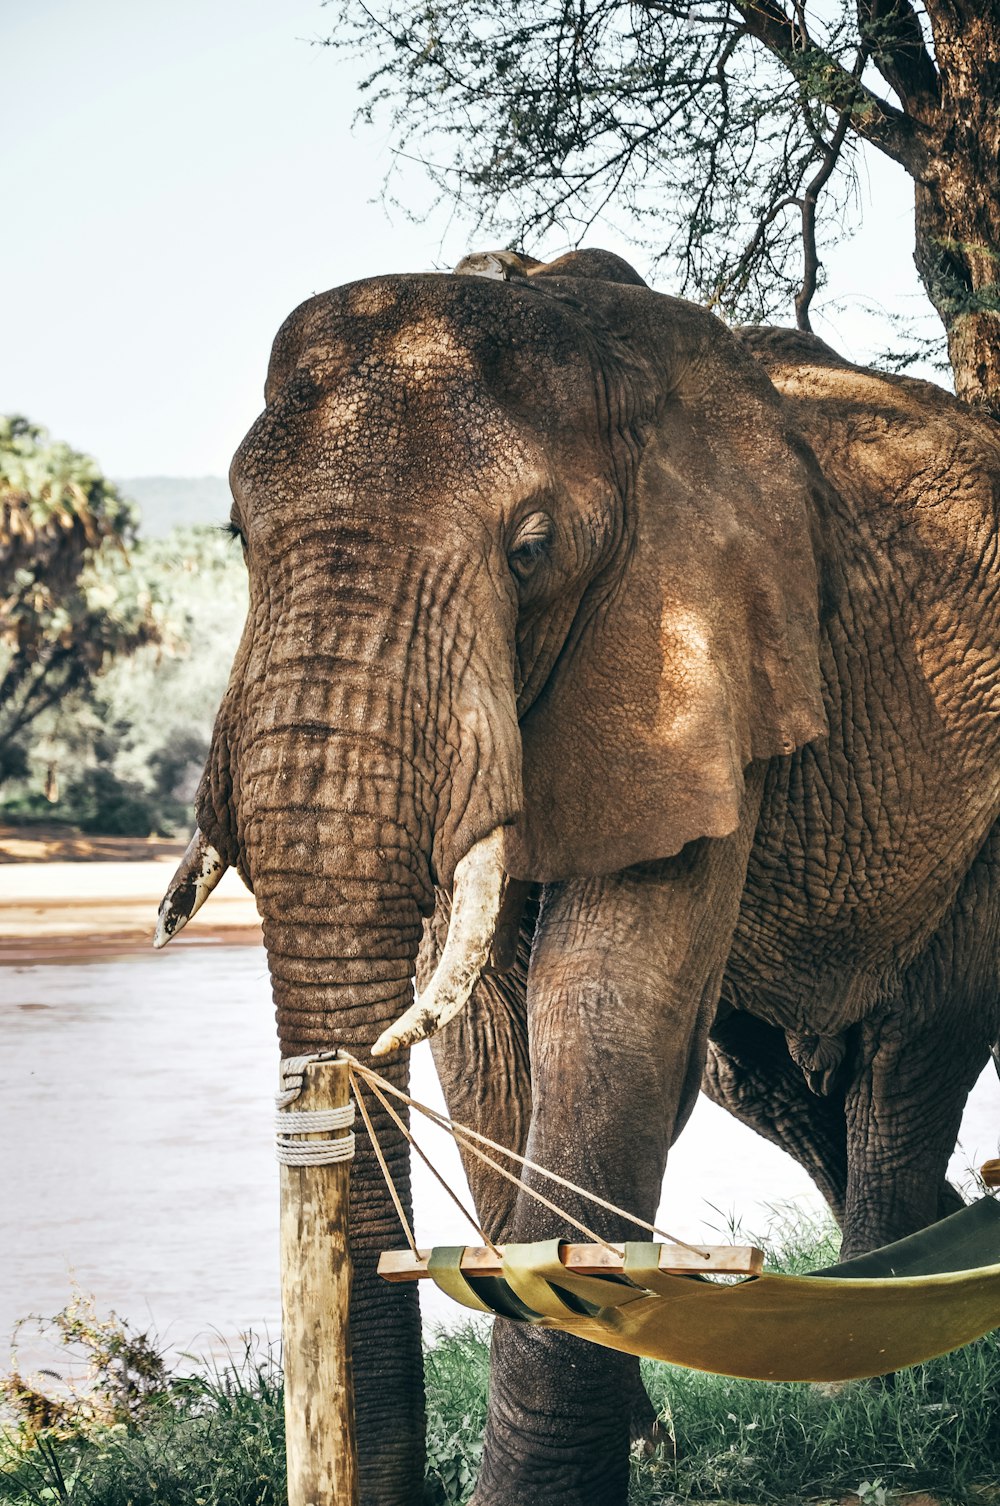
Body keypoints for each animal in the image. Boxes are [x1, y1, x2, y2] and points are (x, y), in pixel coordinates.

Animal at [156, 249, 1000, 1506]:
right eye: (236, 534)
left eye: (531, 549)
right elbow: (488, 1045)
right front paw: (640, 1441)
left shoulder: (701, 645)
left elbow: (601, 1004)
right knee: (765, 1080)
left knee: (907, 1060)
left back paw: (872, 1392)